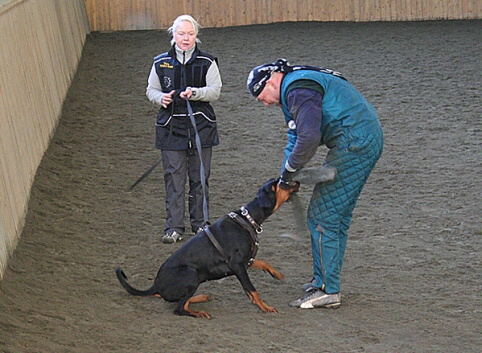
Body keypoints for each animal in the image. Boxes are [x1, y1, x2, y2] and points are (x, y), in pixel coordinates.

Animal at [116, 177, 298, 318]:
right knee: (178, 308)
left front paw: (276, 274)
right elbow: (253, 290)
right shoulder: (238, 265)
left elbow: (263, 263)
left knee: (175, 300)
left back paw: (201, 297)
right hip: (191, 275)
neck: (247, 219)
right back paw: (198, 312)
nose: (297, 181)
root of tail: (156, 284)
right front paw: (265, 307)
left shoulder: (246, 261)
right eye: (280, 183)